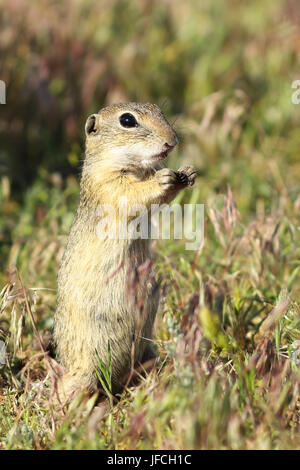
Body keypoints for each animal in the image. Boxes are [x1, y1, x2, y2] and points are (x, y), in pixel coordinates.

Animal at [54, 103, 197, 404]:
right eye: (128, 120)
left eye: (159, 110)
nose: (172, 141)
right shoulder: (109, 185)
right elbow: (133, 194)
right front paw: (164, 179)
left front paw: (187, 172)